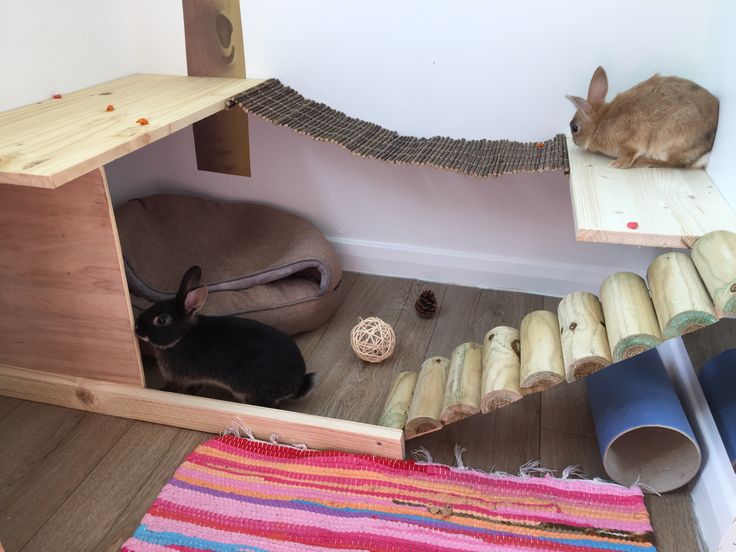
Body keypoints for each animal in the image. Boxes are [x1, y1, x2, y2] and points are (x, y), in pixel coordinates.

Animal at [135, 266, 314, 408]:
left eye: (162, 320)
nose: (136, 328)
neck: (181, 337)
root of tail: (298, 384)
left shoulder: (177, 376)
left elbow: (173, 387)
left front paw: (163, 391)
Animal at [568, 66, 720, 168]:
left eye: (575, 128)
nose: (575, 142)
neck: (600, 122)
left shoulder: (631, 139)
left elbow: (632, 153)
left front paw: (619, 163)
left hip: (670, 141)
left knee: (674, 163)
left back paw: (645, 161)